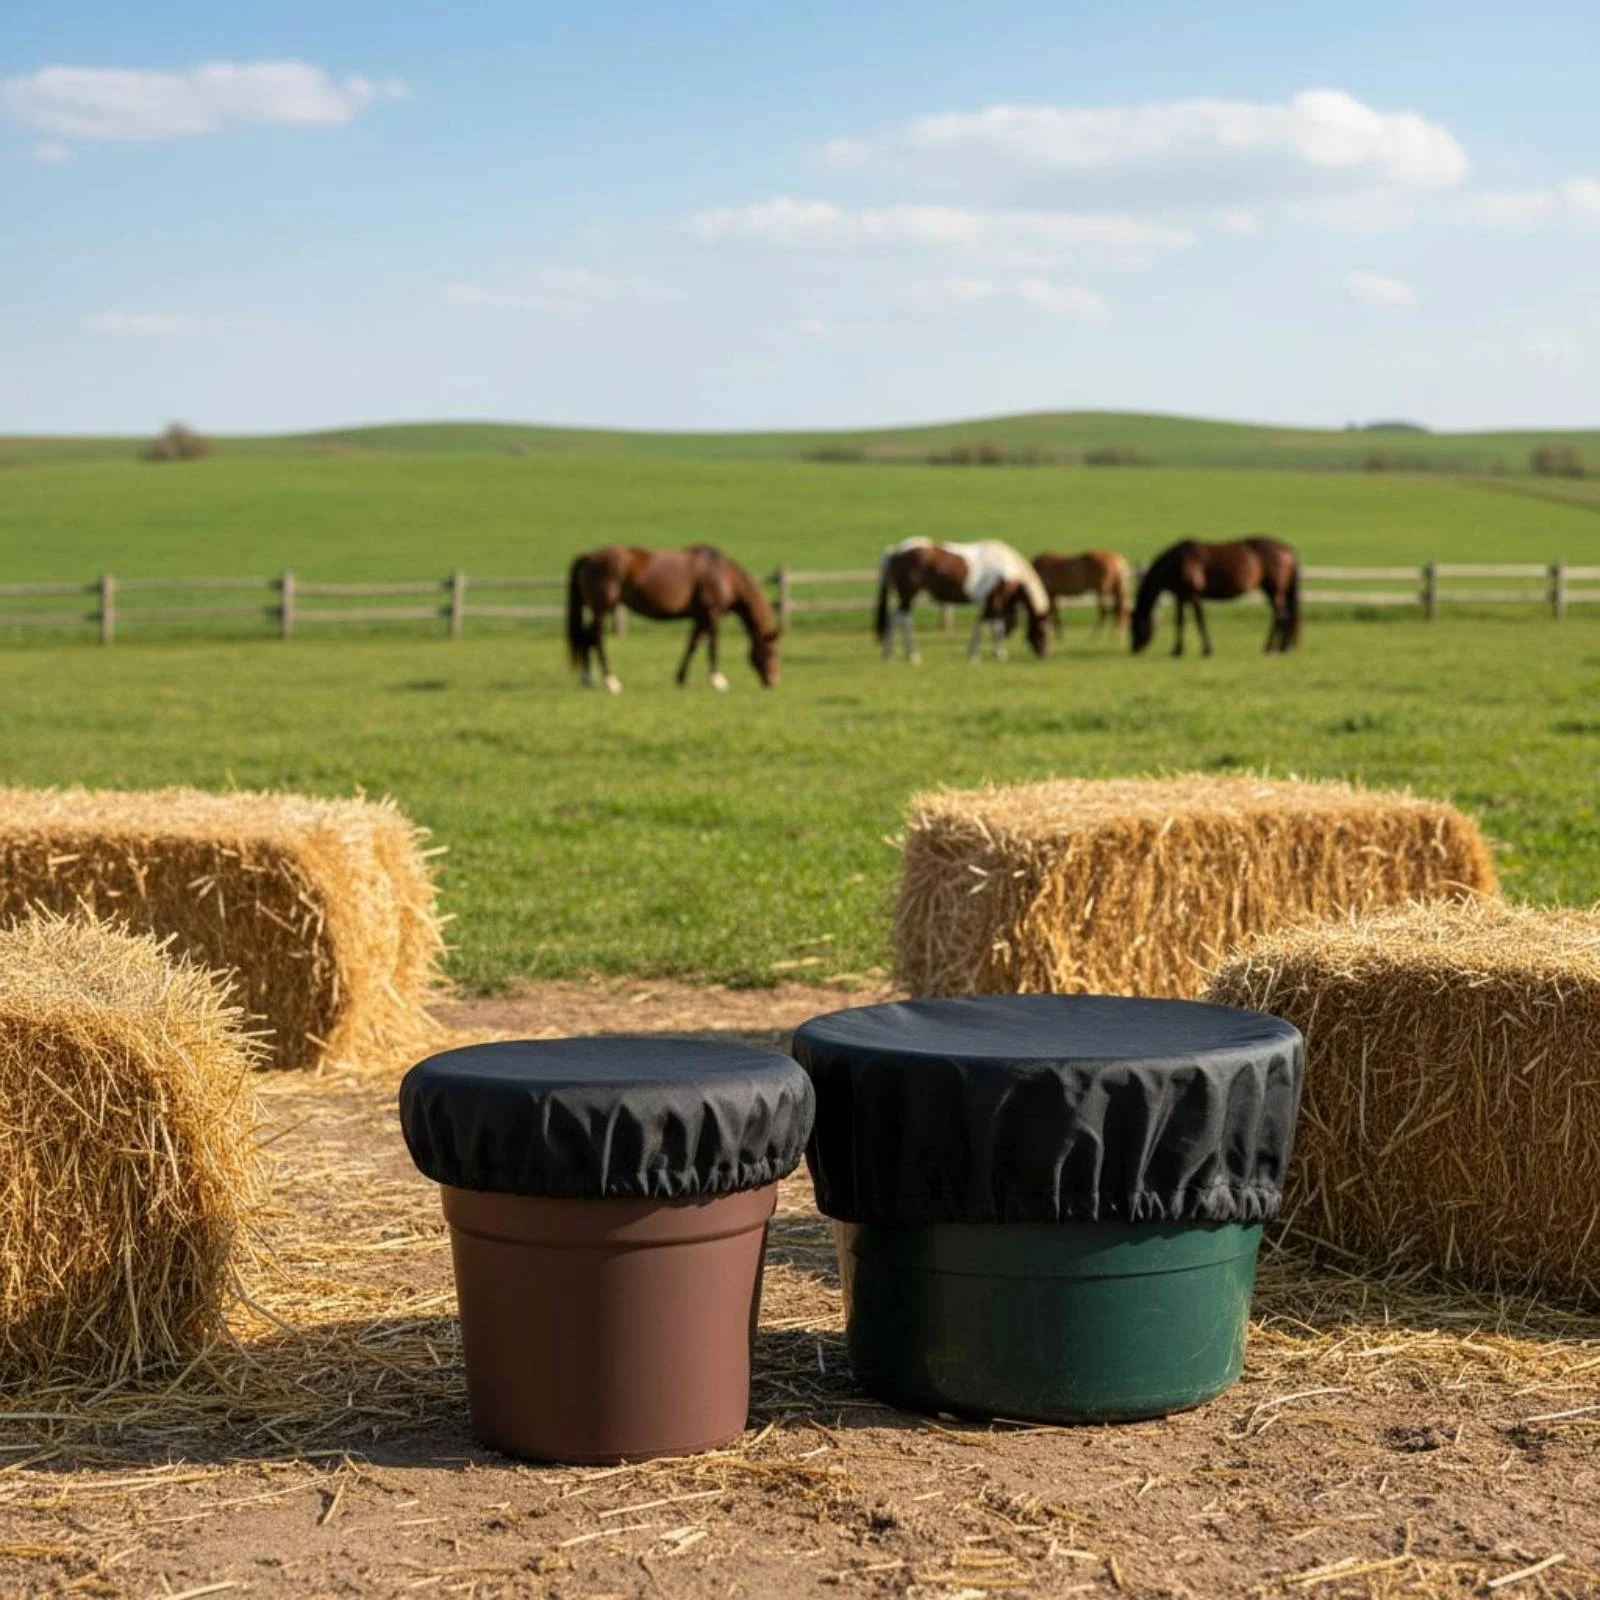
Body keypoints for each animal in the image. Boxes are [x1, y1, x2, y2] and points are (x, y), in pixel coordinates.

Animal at [566, 544, 780, 692]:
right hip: (602, 610)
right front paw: (718, 680)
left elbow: (693, 645)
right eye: (771, 652)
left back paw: (587, 679)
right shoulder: (712, 615)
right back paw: (611, 681)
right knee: (596, 639)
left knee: (586, 638)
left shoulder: (700, 617)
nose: (774, 681)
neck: (722, 575)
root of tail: (589, 557)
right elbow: (713, 646)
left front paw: (681, 678)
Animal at [874, 538, 1052, 663]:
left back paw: (889, 655)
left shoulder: (989, 604)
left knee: (892, 618)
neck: (1007, 567)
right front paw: (999, 655)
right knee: (904, 620)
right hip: (909, 596)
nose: (1045, 654)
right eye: (1043, 630)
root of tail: (895, 552)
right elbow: (995, 628)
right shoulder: (994, 601)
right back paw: (913, 656)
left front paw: (975, 654)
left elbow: (984, 625)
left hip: (907, 597)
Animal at [1130, 537, 1301, 656]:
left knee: (1281, 617)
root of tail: (1288, 551)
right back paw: (1279, 647)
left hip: (1274, 590)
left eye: (1136, 625)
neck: (1178, 563)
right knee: (1280, 617)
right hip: (1272, 591)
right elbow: (1180, 622)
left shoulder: (1195, 596)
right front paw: (1177, 650)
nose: (1134, 648)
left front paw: (1207, 650)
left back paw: (1273, 648)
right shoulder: (1180, 598)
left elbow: (1200, 620)